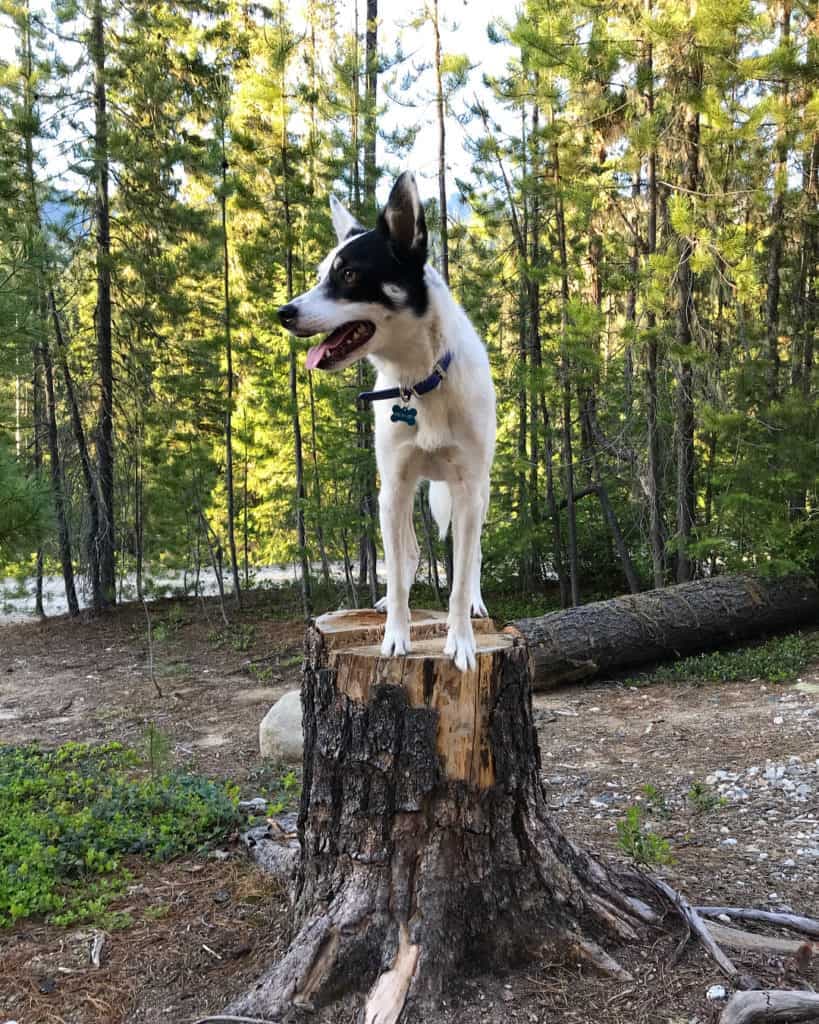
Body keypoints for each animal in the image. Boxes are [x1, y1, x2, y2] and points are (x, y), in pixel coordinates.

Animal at [278, 174, 495, 671]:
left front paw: (461, 640)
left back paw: (477, 603)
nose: (283, 313)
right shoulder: (393, 487)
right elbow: (395, 573)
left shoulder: (468, 488)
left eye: (349, 275)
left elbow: (460, 577)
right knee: (409, 550)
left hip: (479, 488)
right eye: (321, 273)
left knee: (472, 556)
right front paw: (396, 635)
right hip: (397, 493)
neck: (420, 382)